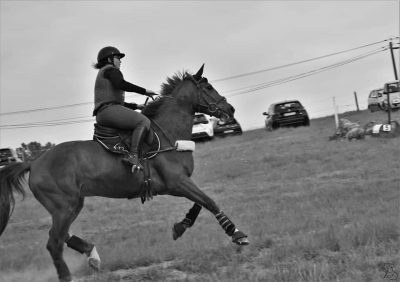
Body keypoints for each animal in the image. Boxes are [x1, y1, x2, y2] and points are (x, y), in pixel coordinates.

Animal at [0, 64, 248, 282]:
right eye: (208, 88)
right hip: (64, 206)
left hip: (72, 204)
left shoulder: (181, 183)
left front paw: (181, 226)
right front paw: (236, 233)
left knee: (61, 235)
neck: (168, 133)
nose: (230, 110)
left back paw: (92, 254)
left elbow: (199, 203)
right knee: (54, 242)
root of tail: (34, 163)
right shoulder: (176, 183)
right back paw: (68, 274)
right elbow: (209, 201)